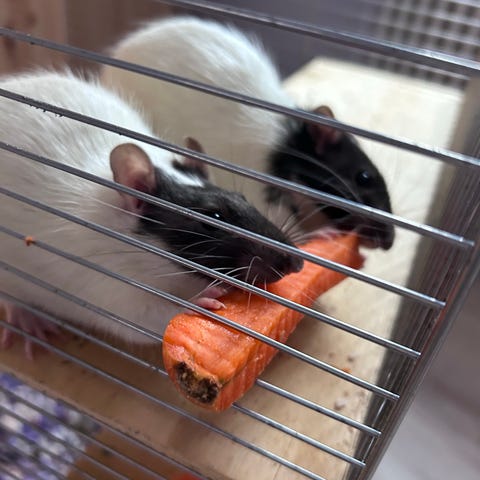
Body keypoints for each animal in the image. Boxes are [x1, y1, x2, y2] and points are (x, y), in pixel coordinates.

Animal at [0, 71, 302, 357]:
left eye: (242, 199)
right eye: (213, 217)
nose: (296, 262)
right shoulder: (105, 278)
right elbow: (138, 318)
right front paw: (195, 301)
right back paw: (25, 318)